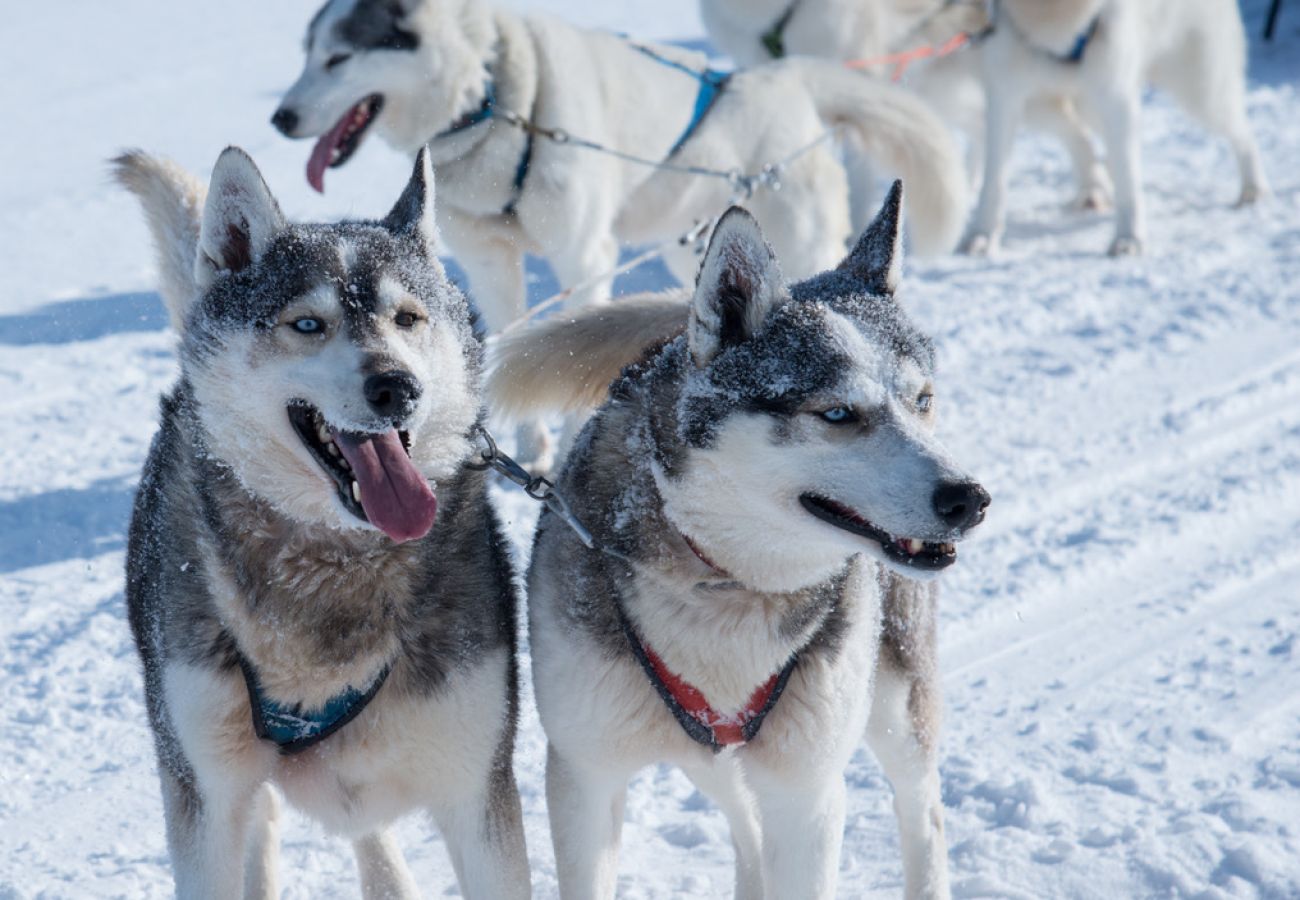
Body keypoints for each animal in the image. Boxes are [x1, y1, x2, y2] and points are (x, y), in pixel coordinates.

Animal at [113, 144, 527, 894]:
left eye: (408, 318)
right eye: (308, 324)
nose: (396, 386)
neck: (336, 571)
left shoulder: (477, 791)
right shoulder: (204, 799)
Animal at [271, 0, 967, 335]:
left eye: (338, 57)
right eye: (304, 53)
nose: (280, 117)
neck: (498, 98)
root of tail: (782, 79)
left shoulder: (584, 259)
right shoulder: (490, 264)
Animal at [491, 184, 987, 900]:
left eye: (922, 399)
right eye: (837, 413)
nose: (969, 499)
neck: (726, 580)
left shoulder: (806, 793)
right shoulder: (585, 781)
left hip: (894, 704)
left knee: (922, 813)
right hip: (713, 757)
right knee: (746, 825)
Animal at [967, 0, 1268, 256]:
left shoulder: (1115, 97)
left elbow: (1128, 180)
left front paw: (1129, 238)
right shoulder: (1004, 97)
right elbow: (994, 182)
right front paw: (982, 236)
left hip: (1202, 92)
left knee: (1243, 133)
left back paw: (1253, 189)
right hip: (1057, 105)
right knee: (1081, 137)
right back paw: (1094, 185)